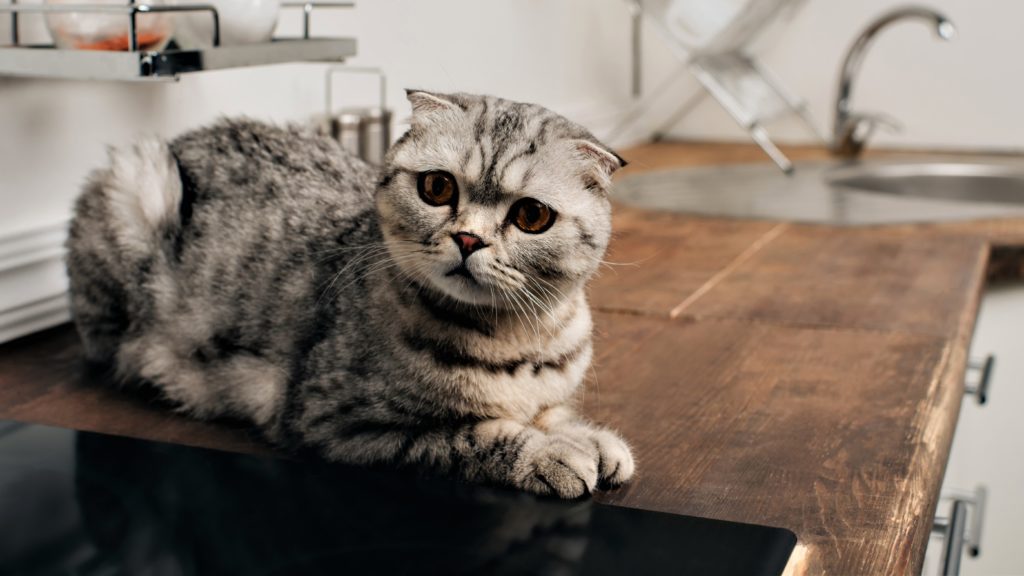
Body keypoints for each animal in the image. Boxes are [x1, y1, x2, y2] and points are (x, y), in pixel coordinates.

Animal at [66, 90, 630, 498]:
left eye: (531, 215)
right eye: (438, 188)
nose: (469, 239)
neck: (522, 337)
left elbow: (554, 412)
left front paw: (589, 438)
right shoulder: (341, 422)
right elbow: (475, 433)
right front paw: (548, 453)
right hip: (139, 184)